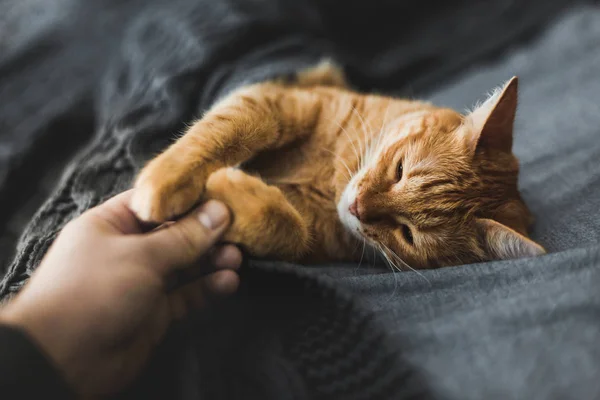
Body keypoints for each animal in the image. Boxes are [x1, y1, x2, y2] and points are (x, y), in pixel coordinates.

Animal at [129, 61, 548, 268]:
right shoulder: (277, 101)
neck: (332, 180)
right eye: (399, 170)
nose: (358, 207)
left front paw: (229, 193)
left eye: (407, 234)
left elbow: (290, 228)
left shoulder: (313, 240)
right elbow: (225, 131)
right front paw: (164, 183)